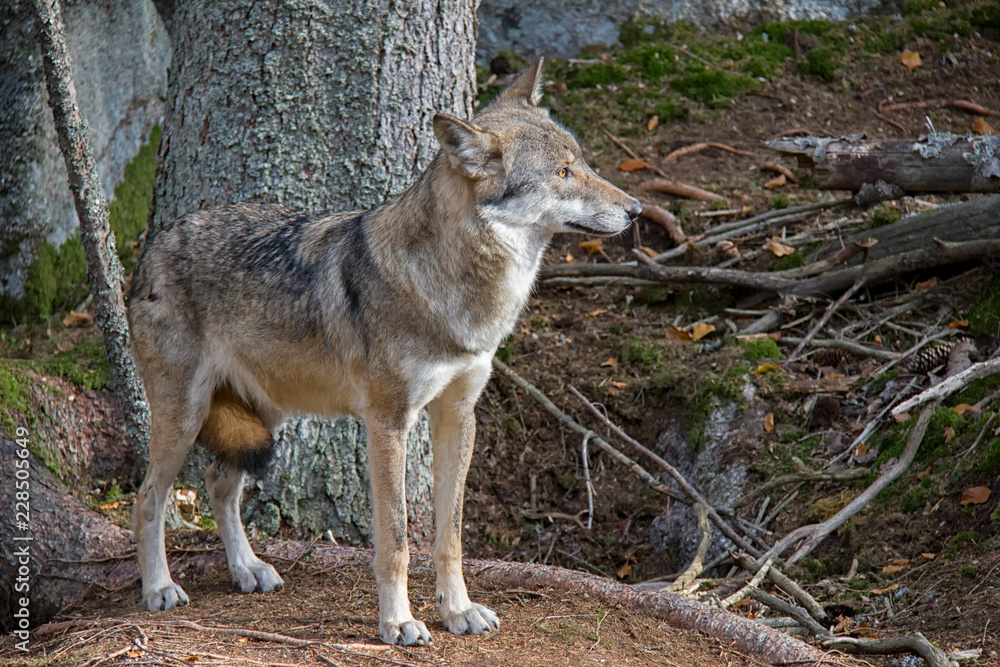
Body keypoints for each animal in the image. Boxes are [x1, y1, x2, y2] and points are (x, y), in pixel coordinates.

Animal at [129, 61, 640, 648]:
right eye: (562, 172)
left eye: (582, 161)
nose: (636, 210)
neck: (456, 289)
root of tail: (152, 245)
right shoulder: (388, 423)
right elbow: (395, 540)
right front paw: (397, 622)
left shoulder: (457, 415)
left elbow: (450, 536)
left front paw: (457, 611)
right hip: (185, 417)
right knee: (148, 498)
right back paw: (159, 588)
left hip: (267, 416)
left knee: (219, 483)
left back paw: (247, 569)